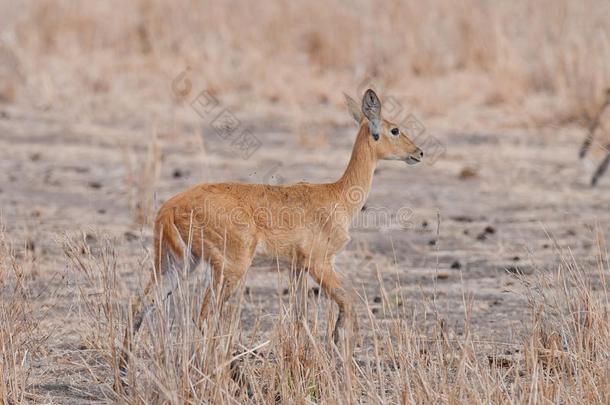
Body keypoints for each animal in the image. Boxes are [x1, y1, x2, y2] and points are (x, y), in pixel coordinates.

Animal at [119, 90, 422, 374]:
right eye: (394, 129)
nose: (419, 152)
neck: (337, 196)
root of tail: (168, 208)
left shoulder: (296, 268)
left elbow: (299, 317)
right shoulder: (320, 263)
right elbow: (348, 301)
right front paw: (339, 352)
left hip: (178, 263)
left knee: (140, 305)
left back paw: (123, 370)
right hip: (229, 268)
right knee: (204, 314)